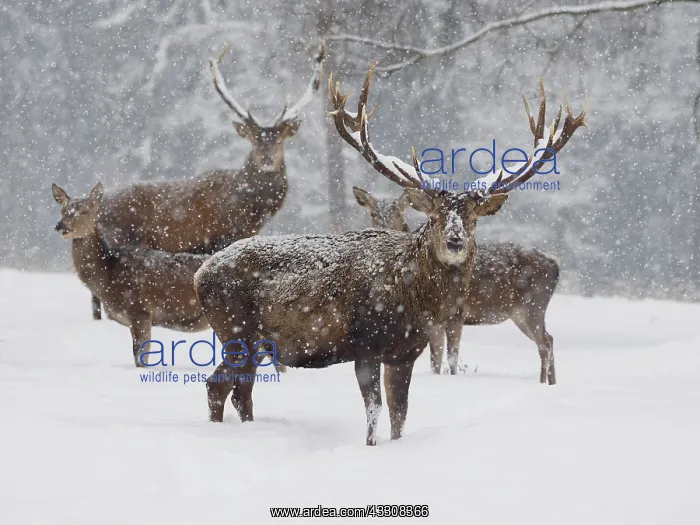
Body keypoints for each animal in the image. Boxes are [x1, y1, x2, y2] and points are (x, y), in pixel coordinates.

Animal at [52, 182, 210, 367]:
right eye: (63, 210)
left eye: (84, 211)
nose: (60, 226)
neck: (107, 278)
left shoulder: (140, 309)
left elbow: (140, 355)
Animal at [84, 44, 325, 322]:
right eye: (254, 139)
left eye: (279, 139)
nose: (266, 158)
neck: (250, 209)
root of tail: (99, 208)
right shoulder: (221, 237)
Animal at [353, 186, 560, 384]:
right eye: (372, 214)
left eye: (398, 213)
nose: (384, 229)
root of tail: (555, 265)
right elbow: (435, 359)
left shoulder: (457, 313)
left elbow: (450, 357)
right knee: (549, 339)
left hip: (532, 307)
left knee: (544, 343)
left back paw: (542, 382)